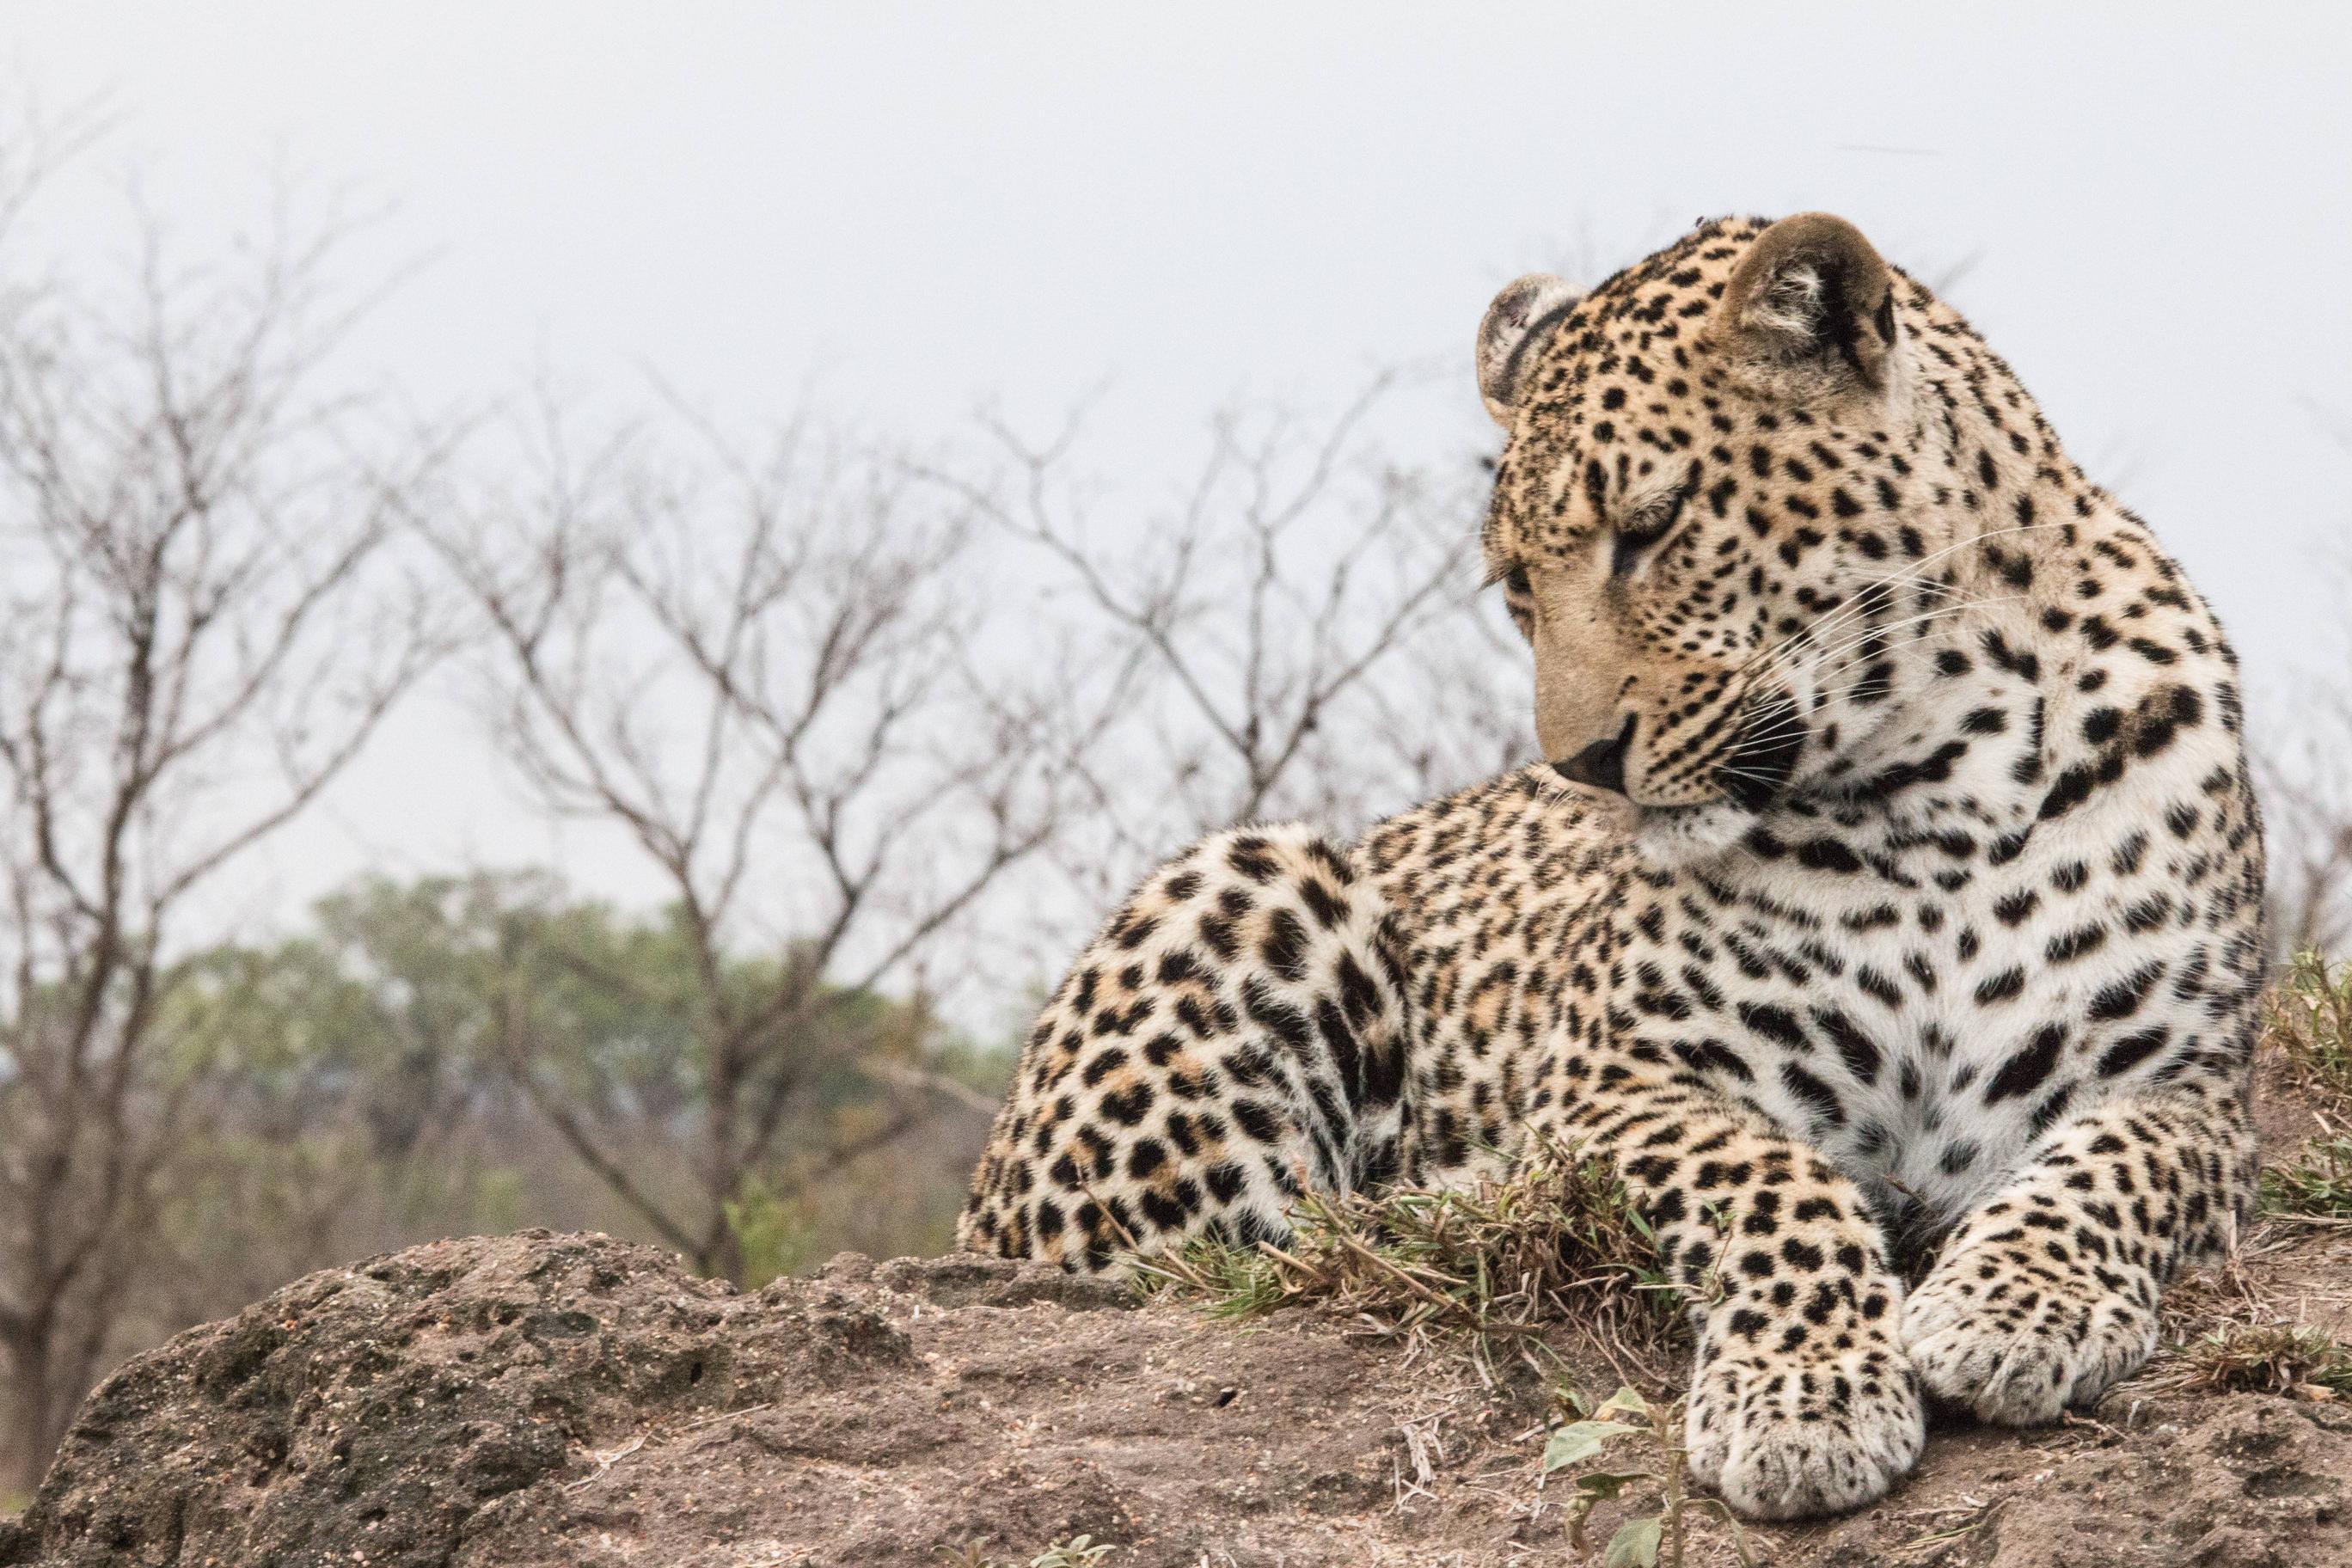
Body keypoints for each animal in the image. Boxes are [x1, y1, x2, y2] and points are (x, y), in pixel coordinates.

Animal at [954, 211, 2257, 1523]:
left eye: (1655, 527)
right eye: (1519, 585)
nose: (1580, 764)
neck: (1937, 778)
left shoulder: (2191, 1084)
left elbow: (2110, 1166)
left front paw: (2016, 1307)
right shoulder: (1619, 1083)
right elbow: (1770, 1182)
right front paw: (1804, 1398)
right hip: (1247, 881)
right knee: (1217, 1249)